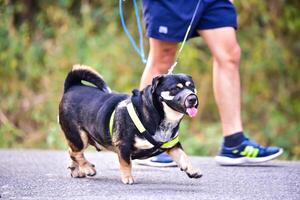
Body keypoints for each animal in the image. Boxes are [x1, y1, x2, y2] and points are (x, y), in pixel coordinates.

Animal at [58, 65, 202, 184]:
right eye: (174, 89)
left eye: (191, 86)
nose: (192, 98)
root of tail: (73, 86)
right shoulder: (123, 145)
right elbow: (126, 164)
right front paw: (128, 178)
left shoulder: (172, 145)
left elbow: (183, 156)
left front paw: (192, 169)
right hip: (79, 136)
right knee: (76, 153)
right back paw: (87, 168)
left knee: (72, 151)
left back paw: (76, 169)